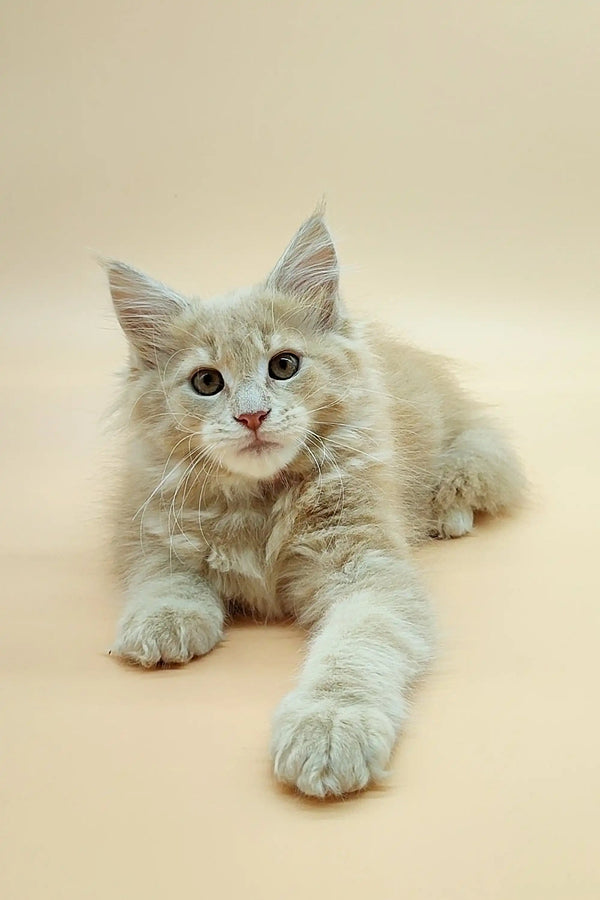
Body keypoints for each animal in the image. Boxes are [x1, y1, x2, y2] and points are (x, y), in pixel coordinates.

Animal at [104, 209, 524, 796]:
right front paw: (165, 620)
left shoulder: (368, 569)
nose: (252, 415)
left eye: (283, 366)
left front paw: (328, 728)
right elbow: (165, 573)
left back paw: (447, 515)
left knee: (475, 469)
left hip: (458, 443)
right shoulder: (146, 514)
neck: (260, 500)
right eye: (207, 381)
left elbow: (354, 651)